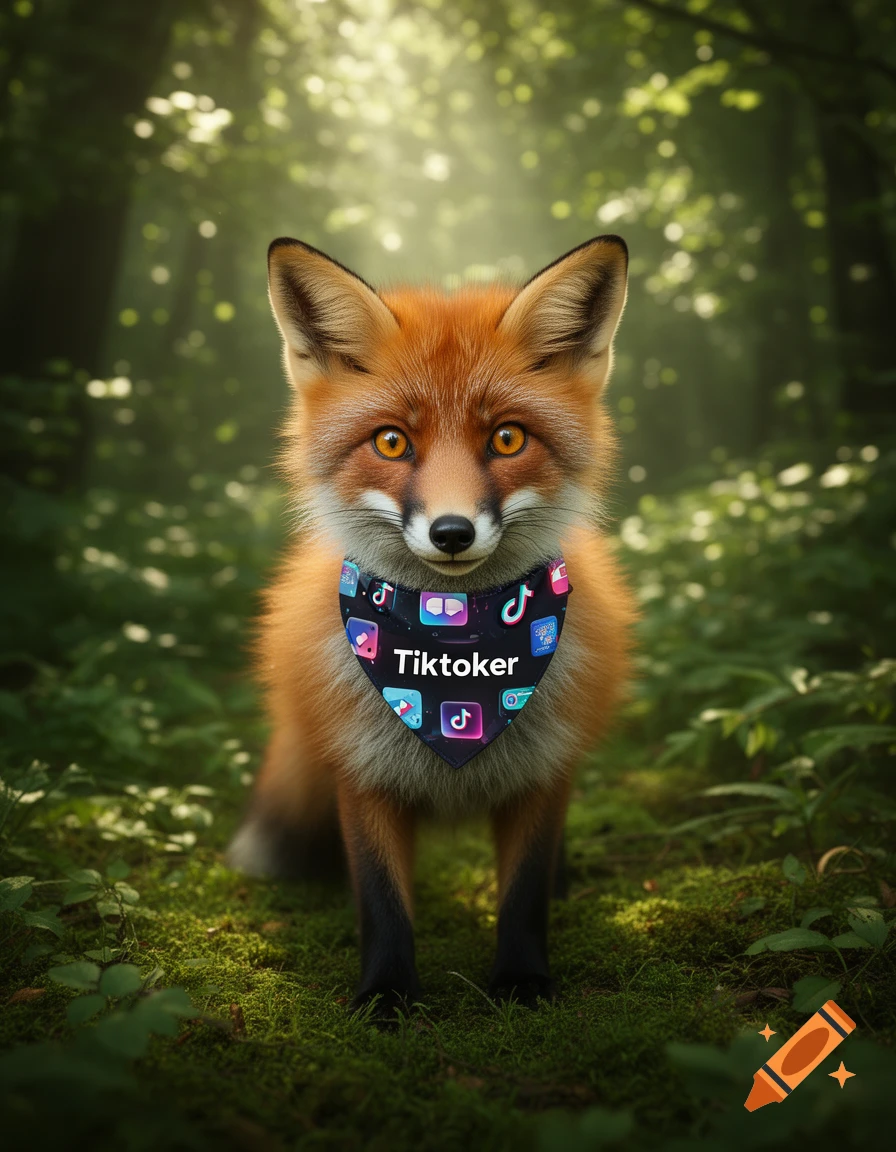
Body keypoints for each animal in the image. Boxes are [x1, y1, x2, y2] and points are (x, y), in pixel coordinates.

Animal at [227, 235, 637, 1016]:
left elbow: (524, 895)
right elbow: (382, 900)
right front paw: (385, 998)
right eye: (392, 443)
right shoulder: (361, 771)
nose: (451, 532)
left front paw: (522, 985)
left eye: (507, 438)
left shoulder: (544, 771)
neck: (454, 650)